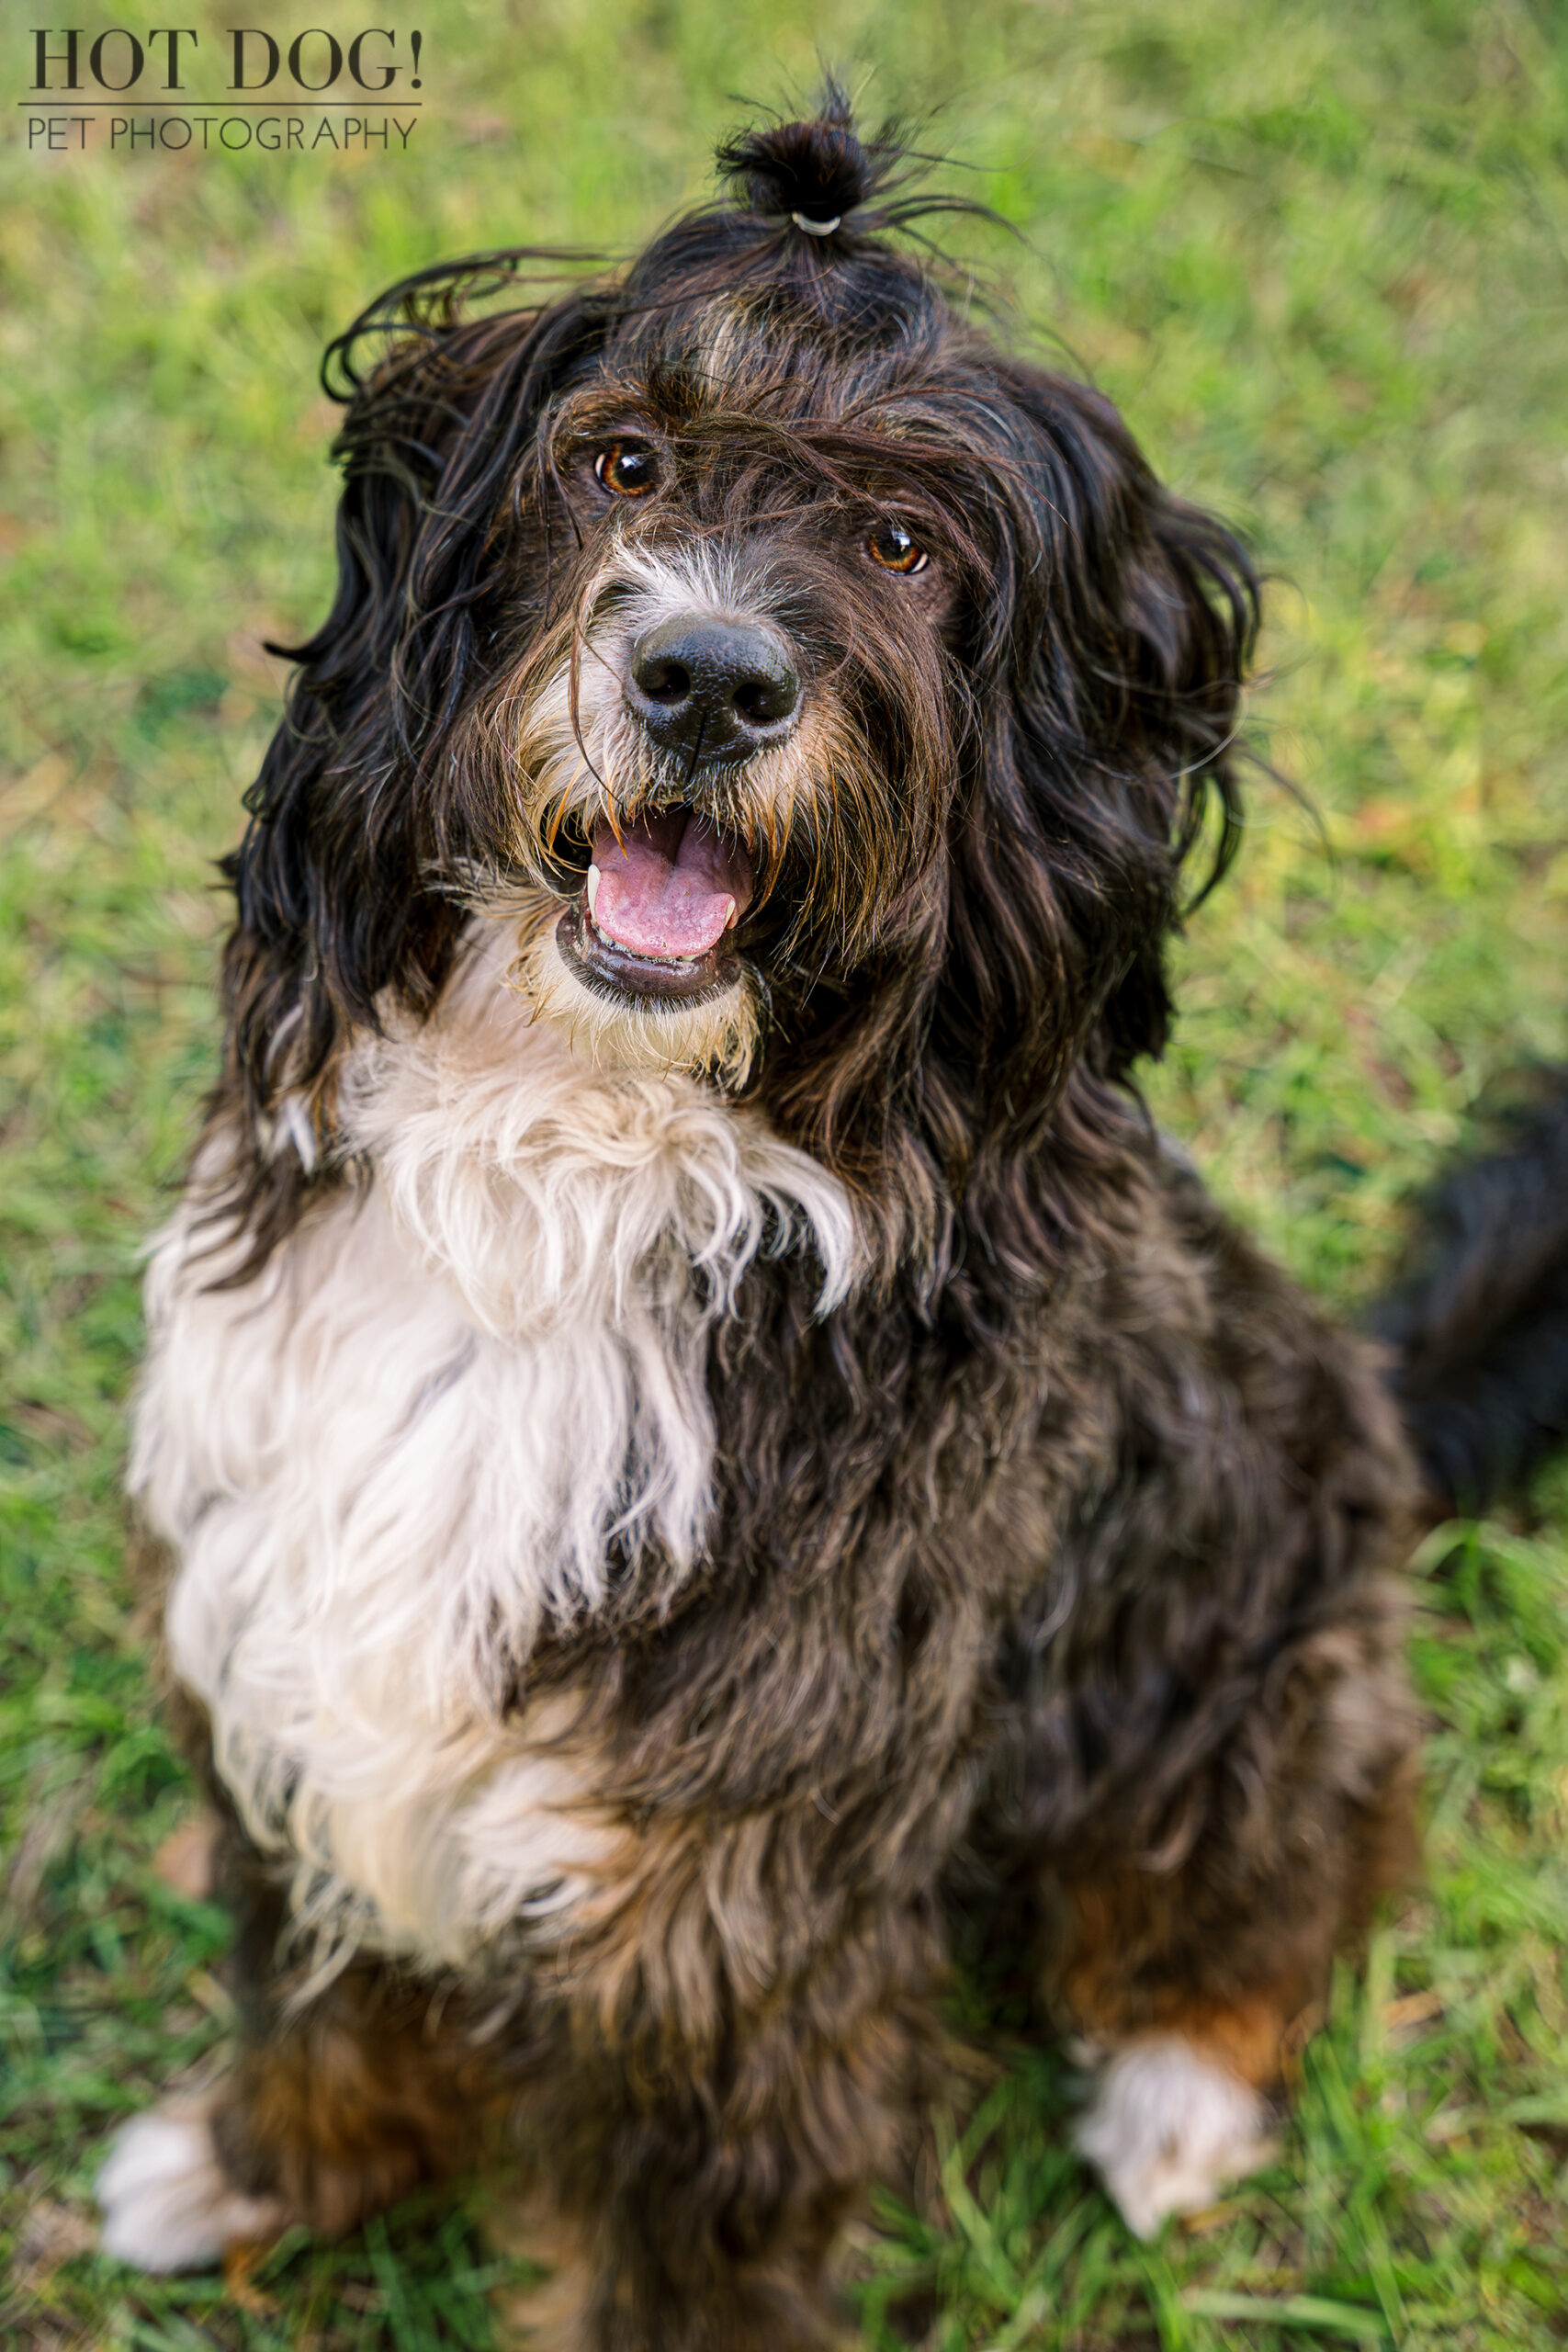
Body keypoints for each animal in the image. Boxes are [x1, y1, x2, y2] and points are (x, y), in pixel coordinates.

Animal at [92, 91, 1429, 2352]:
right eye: (620, 460)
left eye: (905, 545)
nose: (707, 677)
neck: (568, 1171)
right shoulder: (294, 1661)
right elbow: (330, 1987)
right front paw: (265, 2170)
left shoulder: (730, 1909)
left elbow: (697, 2238)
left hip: (1262, 1647)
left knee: (1270, 1867)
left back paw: (1179, 2083)